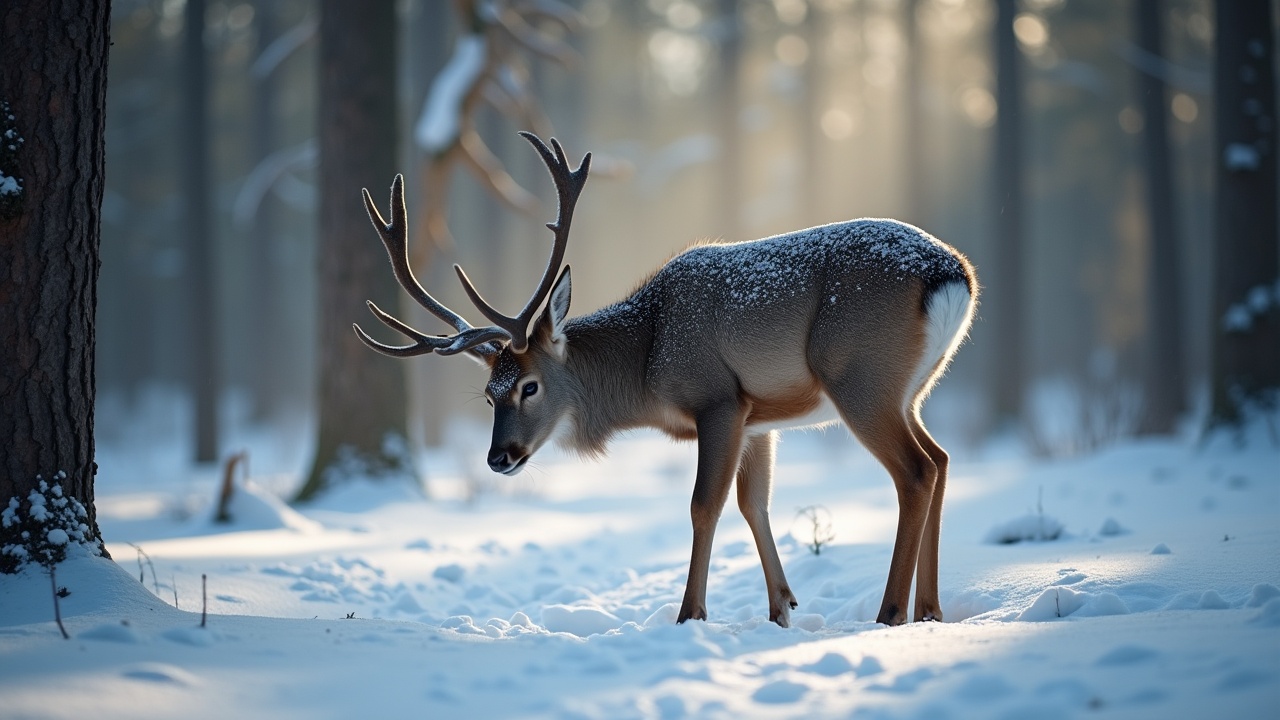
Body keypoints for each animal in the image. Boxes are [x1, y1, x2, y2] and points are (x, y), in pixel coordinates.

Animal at [360, 131, 977, 625]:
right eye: (489, 395)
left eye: (529, 386)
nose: (499, 457)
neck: (647, 362)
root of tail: (953, 275)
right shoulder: (759, 420)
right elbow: (755, 505)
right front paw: (781, 607)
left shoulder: (718, 397)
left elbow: (705, 504)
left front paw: (690, 614)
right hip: (910, 390)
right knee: (943, 458)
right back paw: (931, 610)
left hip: (859, 376)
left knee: (916, 471)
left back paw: (891, 612)